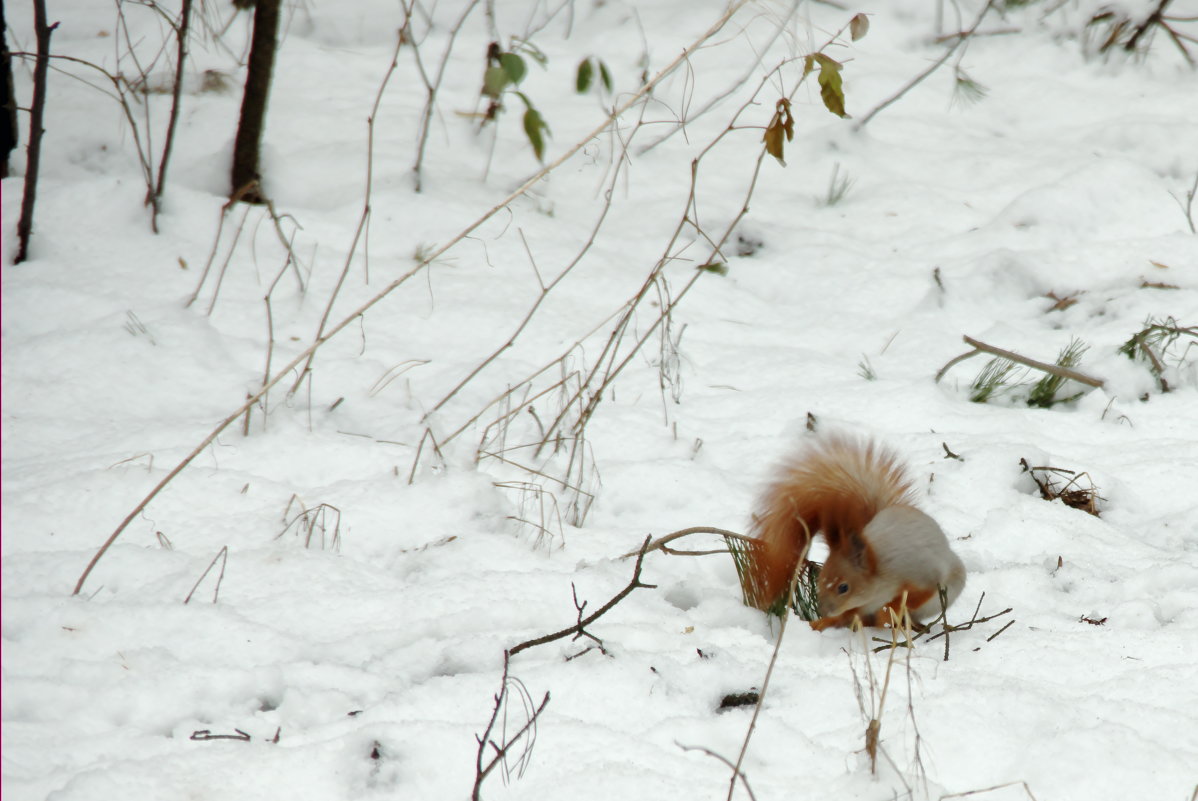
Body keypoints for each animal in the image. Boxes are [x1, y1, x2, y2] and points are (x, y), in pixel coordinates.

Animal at [742, 433, 967, 627]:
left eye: (844, 587)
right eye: (821, 580)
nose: (825, 610)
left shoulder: (922, 573)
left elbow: (918, 595)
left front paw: (893, 606)